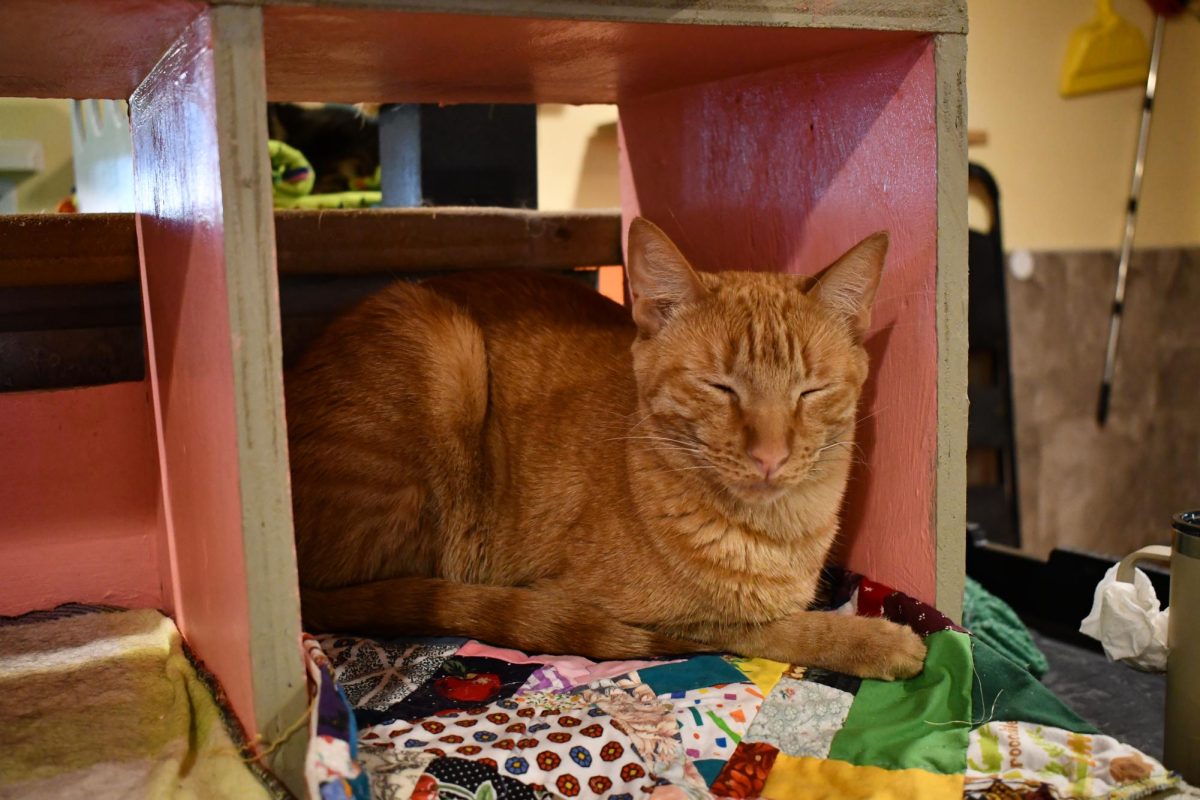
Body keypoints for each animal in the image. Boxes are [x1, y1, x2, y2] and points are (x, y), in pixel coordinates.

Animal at [288, 219, 926, 681]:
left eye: (810, 390)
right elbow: (767, 625)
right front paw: (879, 641)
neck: (777, 534)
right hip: (446, 353)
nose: (770, 455)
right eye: (720, 387)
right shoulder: (630, 610)